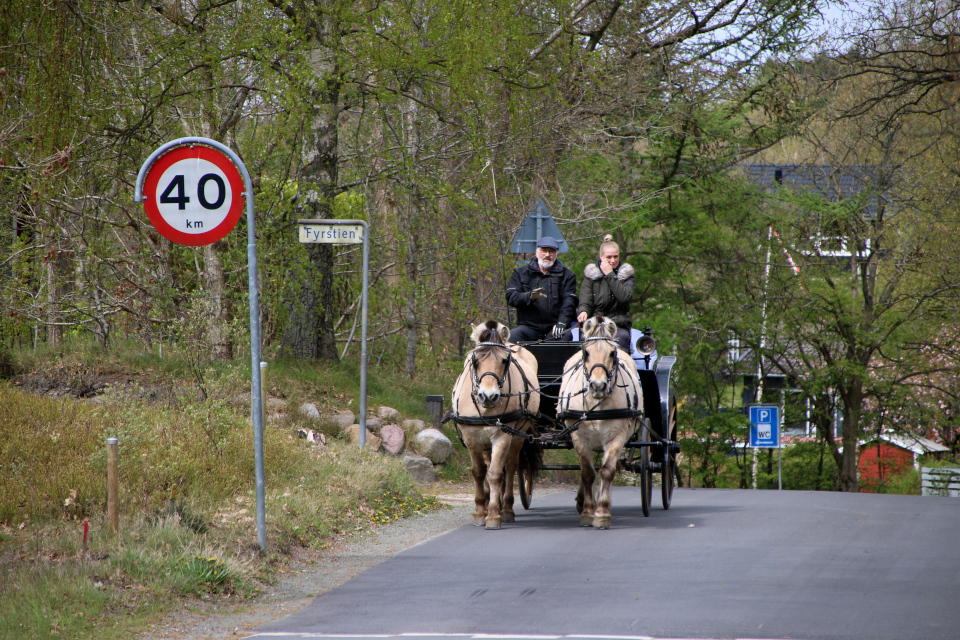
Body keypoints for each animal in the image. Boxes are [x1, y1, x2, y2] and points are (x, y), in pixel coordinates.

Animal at [448, 320, 540, 528]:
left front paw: (493, 515)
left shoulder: (502, 436)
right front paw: (480, 511)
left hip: (518, 434)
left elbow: (496, 473)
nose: (488, 396)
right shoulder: (471, 437)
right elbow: (479, 472)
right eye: (475, 361)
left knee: (511, 466)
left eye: (505, 360)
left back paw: (505, 508)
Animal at [556, 316, 644, 528]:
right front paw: (588, 512)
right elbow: (587, 472)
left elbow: (607, 471)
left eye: (612, 353)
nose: (597, 386)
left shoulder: (616, 437)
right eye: (586, 352)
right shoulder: (579, 437)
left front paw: (602, 512)